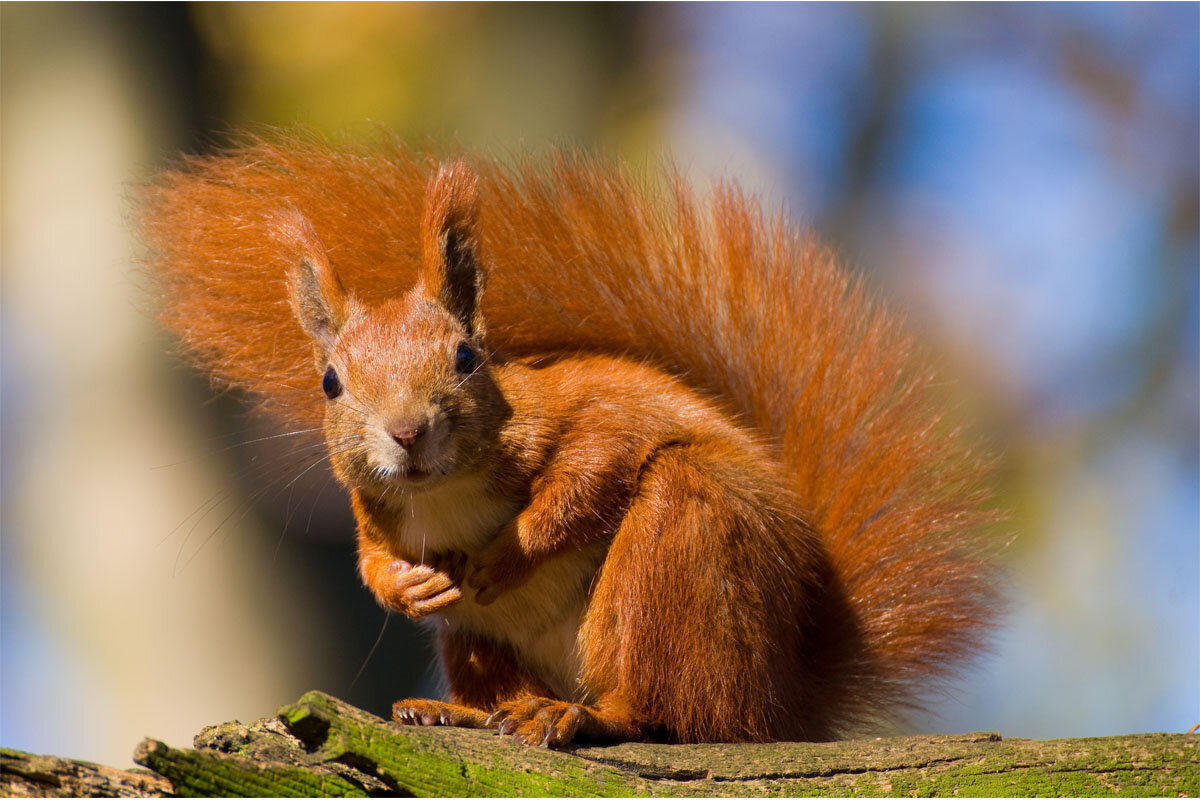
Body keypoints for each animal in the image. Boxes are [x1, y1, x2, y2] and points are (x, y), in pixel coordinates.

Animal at [138, 136, 1003, 743]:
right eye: (330, 383)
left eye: (467, 357)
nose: (408, 433)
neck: (445, 490)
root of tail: (787, 695)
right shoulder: (371, 509)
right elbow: (370, 562)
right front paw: (409, 587)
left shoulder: (591, 412)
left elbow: (591, 472)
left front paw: (505, 554)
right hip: (477, 643)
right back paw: (463, 712)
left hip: (684, 552)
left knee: (675, 714)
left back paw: (587, 716)